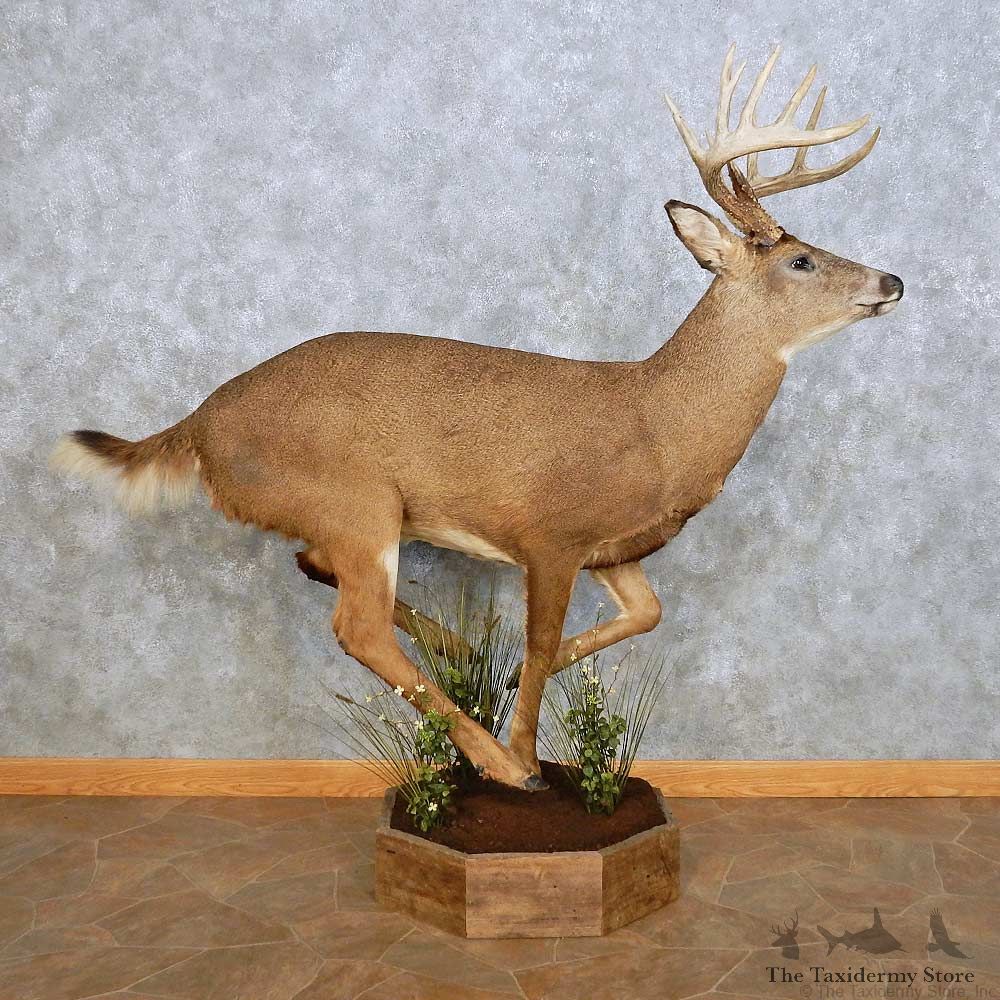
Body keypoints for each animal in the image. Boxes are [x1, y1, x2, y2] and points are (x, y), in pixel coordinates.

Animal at [51, 46, 902, 791]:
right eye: (801, 260)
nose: (890, 280)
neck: (658, 424)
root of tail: (198, 424)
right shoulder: (550, 531)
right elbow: (545, 639)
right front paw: (526, 752)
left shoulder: (614, 547)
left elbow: (645, 615)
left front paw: (520, 677)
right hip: (355, 497)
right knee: (355, 624)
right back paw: (495, 760)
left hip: (350, 514)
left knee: (315, 568)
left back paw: (462, 654)